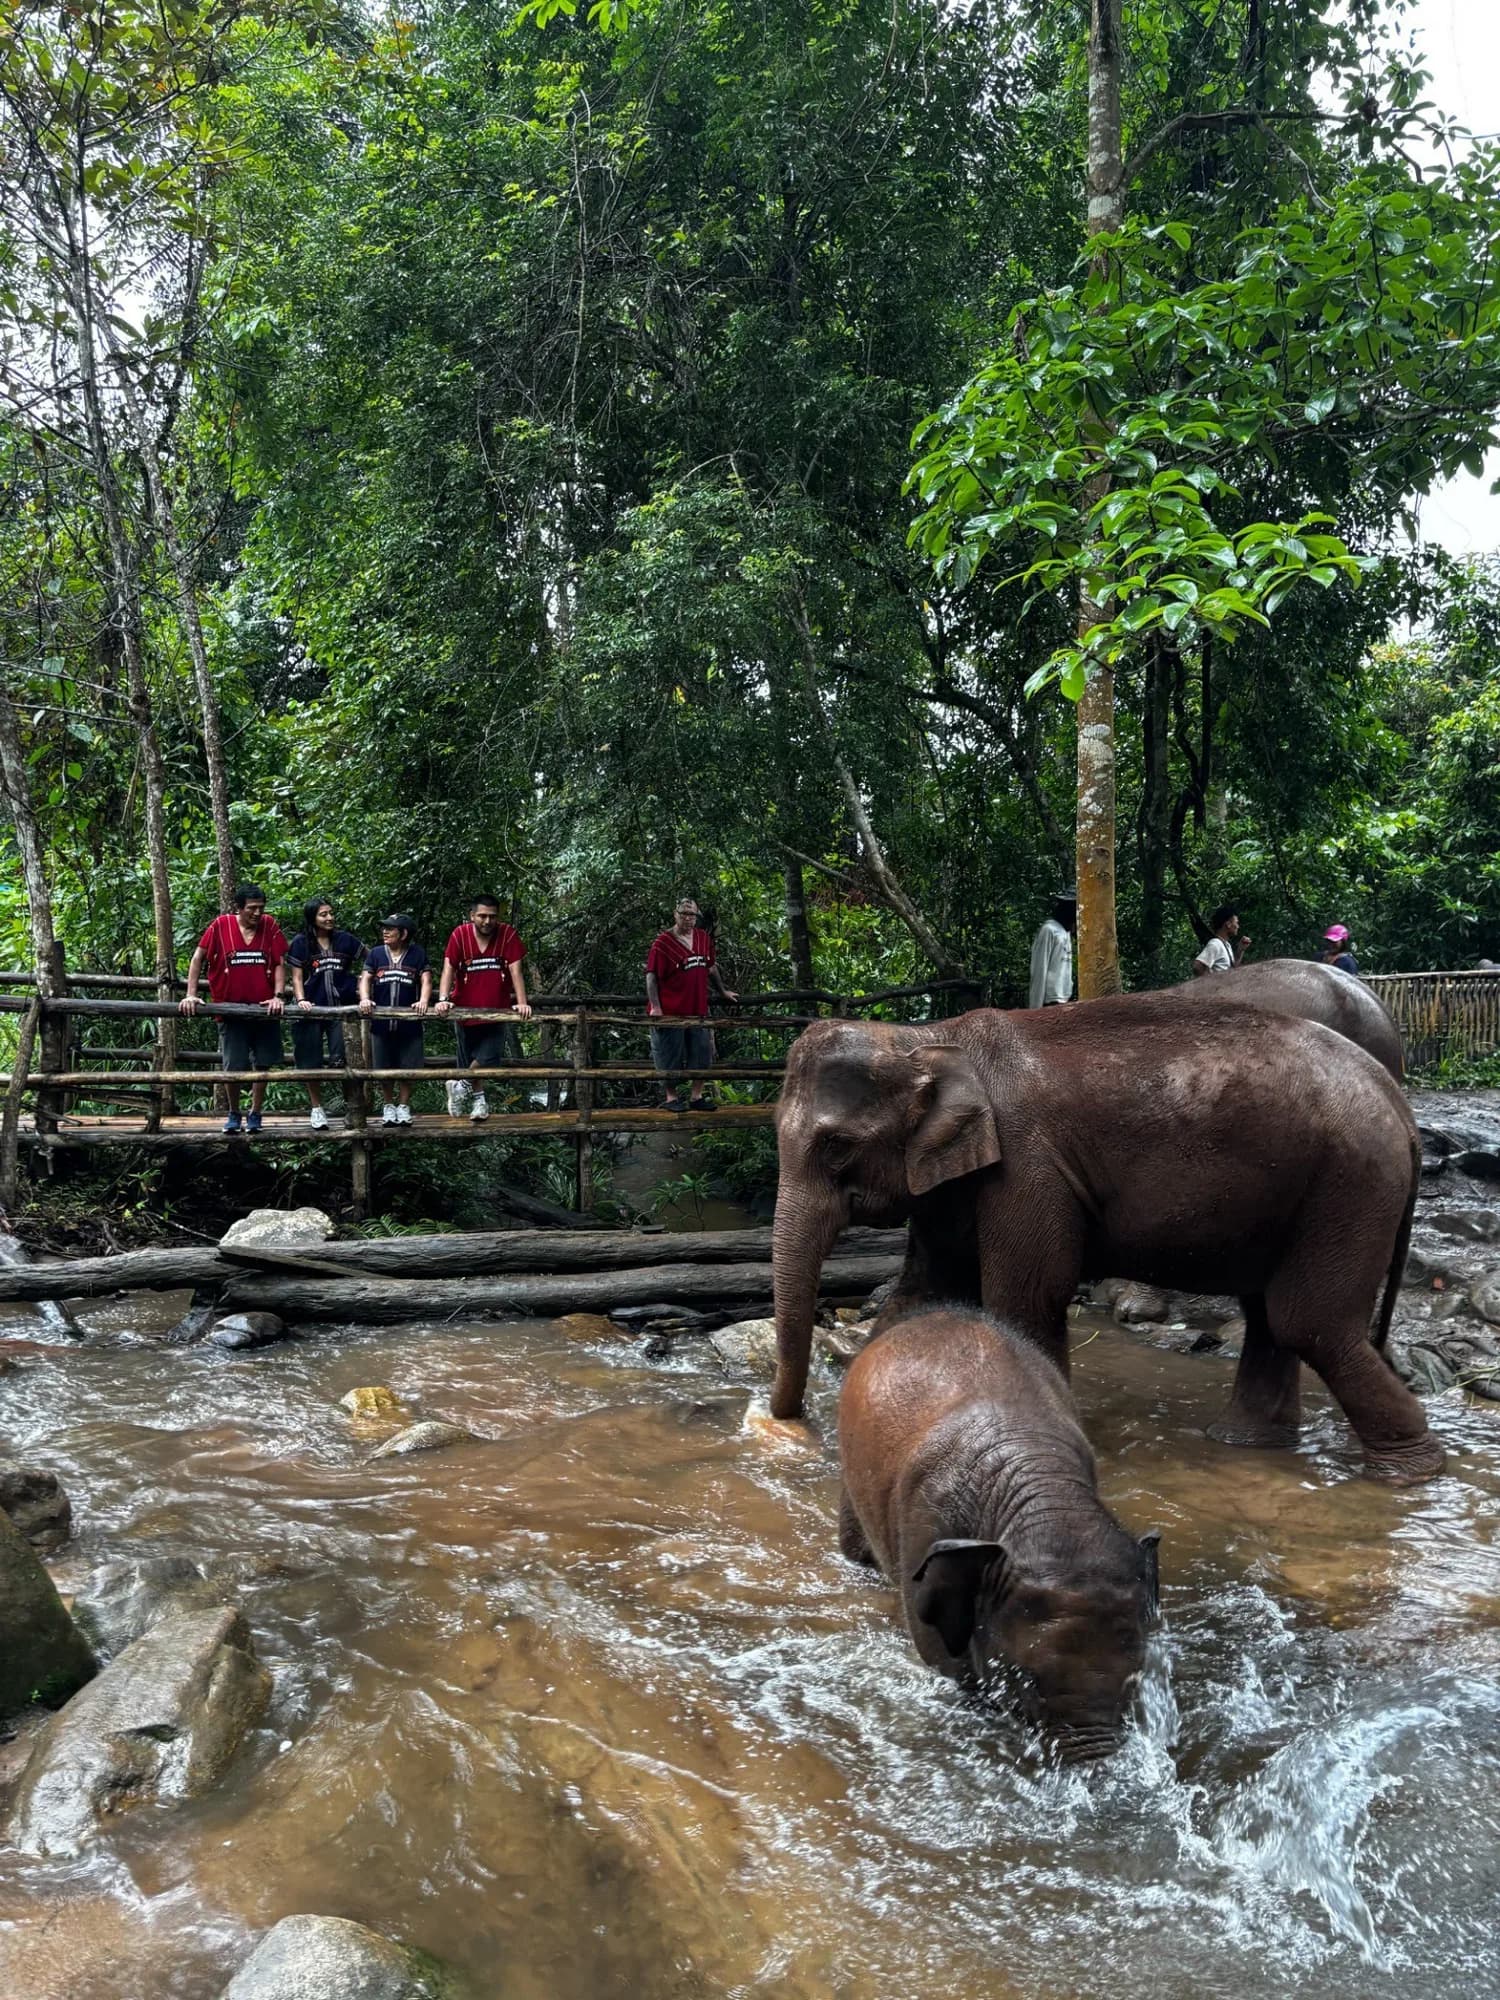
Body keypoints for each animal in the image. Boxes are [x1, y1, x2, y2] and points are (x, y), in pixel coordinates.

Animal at [770, 996, 1444, 1484]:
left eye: (836, 1147)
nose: (791, 1422)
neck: (926, 1036)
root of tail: (1398, 1102)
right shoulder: (949, 1183)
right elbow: (919, 1297)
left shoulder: (1028, 1171)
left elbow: (1026, 1297)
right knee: (1272, 1317)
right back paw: (1248, 1444)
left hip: (1351, 1185)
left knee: (1308, 1320)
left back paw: (1410, 1472)